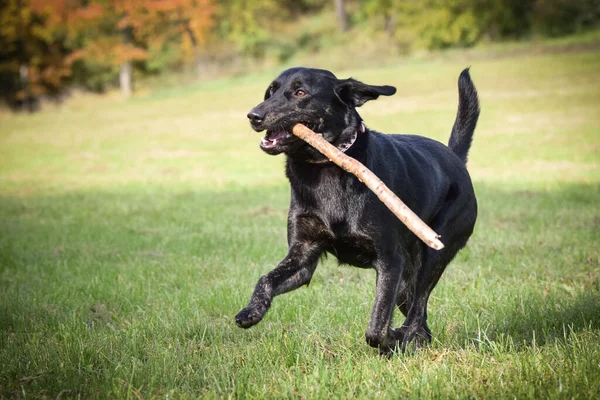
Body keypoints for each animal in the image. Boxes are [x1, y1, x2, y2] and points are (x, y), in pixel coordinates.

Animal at [237, 67, 480, 354]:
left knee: (417, 310)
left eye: (300, 92)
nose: (253, 115)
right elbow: (266, 279)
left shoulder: (390, 261)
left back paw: (400, 338)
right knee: (421, 320)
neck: (326, 166)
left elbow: (376, 326)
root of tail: (456, 159)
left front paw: (389, 338)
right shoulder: (303, 256)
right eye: (270, 91)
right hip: (405, 283)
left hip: (432, 256)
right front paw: (251, 311)